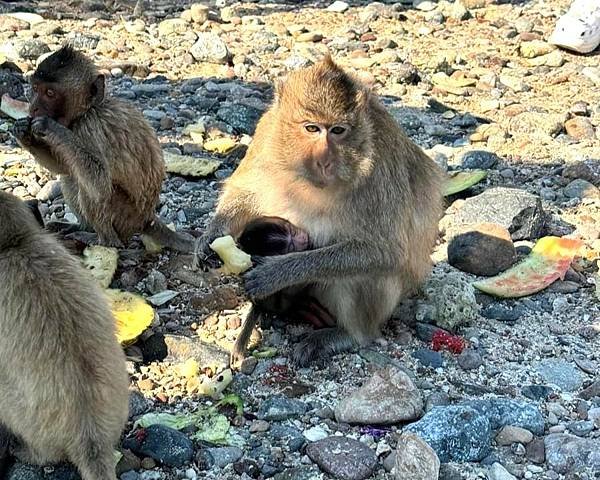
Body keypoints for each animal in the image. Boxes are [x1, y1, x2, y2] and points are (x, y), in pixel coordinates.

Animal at [12, 46, 195, 251]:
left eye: (50, 93)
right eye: (35, 89)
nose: (33, 108)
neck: (88, 110)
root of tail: (147, 219)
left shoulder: (89, 128)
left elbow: (99, 183)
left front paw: (50, 127)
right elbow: (64, 167)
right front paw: (23, 132)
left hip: (125, 216)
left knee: (92, 189)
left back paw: (104, 241)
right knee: (72, 177)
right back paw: (81, 227)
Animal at [198, 54, 446, 366]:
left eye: (338, 131)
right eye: (311, 128)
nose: (324, 159)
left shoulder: (379, 173)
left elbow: (385, 252)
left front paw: (276, 272)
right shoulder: (267, 134)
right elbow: (247, 192)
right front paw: (210, 237)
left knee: (365, 275)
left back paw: (348, 335)